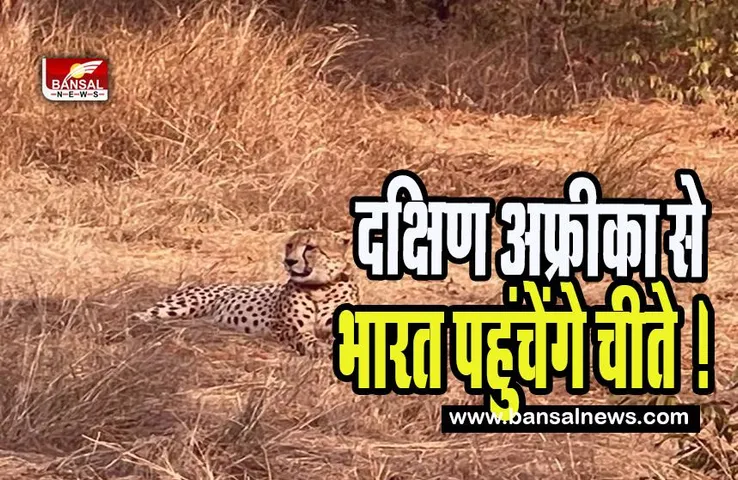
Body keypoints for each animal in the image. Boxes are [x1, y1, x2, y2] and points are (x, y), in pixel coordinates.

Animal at [128, 230, 360, 358]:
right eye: (289, 245)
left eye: (310, 247)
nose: (289, 261)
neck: (320, 287)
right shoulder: (282, 325)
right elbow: (302, 334)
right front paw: (317, 347)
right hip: (183, 305)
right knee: (137, 316)